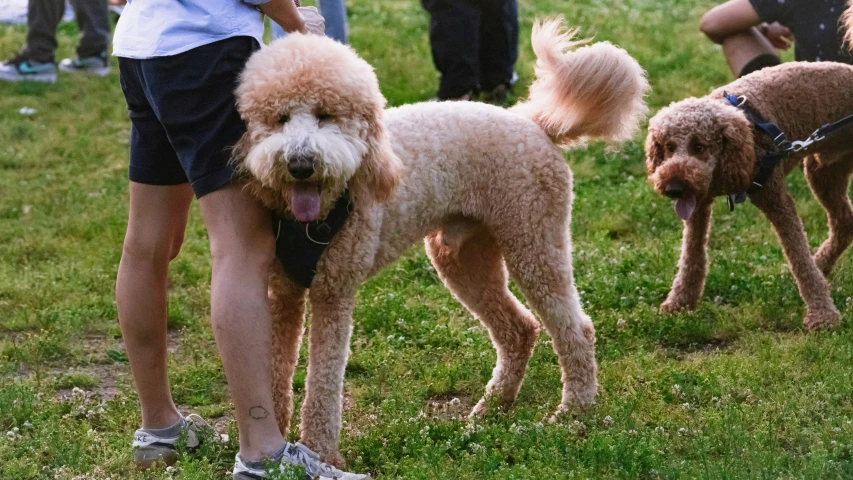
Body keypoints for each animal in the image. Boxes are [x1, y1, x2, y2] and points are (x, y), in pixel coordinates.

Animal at [644, 62, 852, 330]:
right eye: (668, 147)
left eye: (699, 147)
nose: (674, 188)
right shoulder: (698, 203)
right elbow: (691, 256)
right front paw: (679, 303)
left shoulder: (777, 201)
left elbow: (800, 259)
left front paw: (822, 315)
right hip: (824, 172)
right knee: (844, 223)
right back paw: (822, 264)